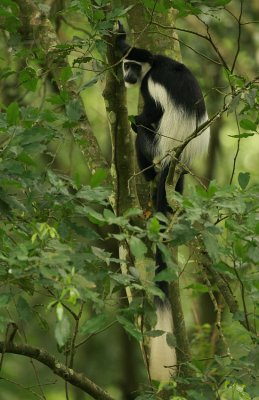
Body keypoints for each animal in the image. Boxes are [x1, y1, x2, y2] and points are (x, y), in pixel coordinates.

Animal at [117, 22, 210, 382]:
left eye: (133, 68)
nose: (127, 76)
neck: (153, 62)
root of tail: (177, 153)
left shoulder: (150, 84)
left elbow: (152, 112)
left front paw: (138, 117)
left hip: (157, 146)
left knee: (143, 134)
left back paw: (146, 169)